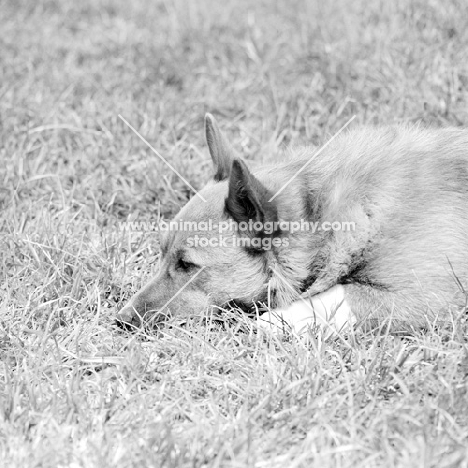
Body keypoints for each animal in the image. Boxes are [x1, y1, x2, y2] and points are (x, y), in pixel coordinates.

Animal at [115, 115, 468, 338]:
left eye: (187, 265)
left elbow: (320, 302)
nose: (120, 320)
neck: (322, 221)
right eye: (162, 254)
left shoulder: (432, 296)